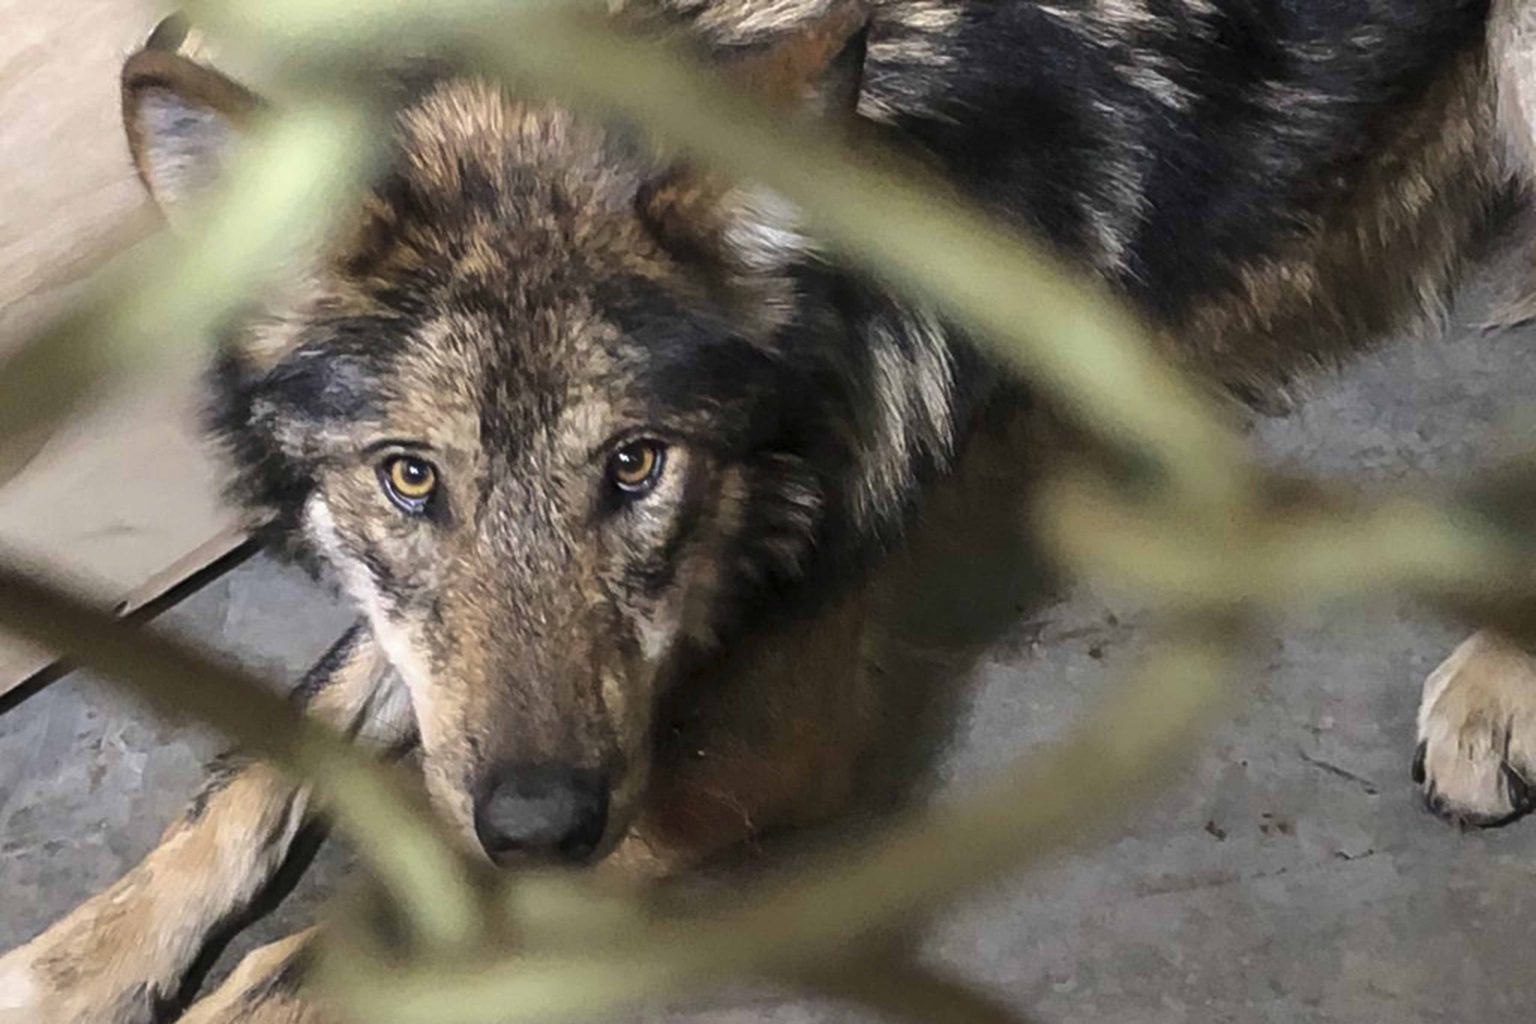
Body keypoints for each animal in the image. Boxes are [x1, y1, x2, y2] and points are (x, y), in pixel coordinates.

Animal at [5, 1, 1536, 1021]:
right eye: (410, 476)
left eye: (635, 465)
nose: (544, 820)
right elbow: (257, 769)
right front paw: (77, 959)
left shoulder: (758, 745)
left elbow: (363, 933)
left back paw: (1495, 686)